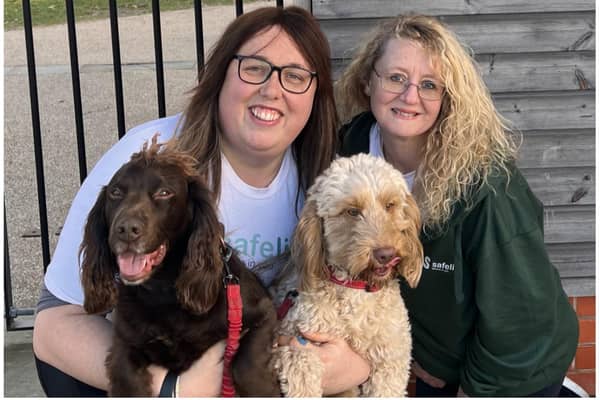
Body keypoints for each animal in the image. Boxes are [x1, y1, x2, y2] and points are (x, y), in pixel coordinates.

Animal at [272, 153, 422, 396]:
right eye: (352, 211)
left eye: (390, 205)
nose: (386, 254)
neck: (358, 287)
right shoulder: (299, 346)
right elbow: (303, 373)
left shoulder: (391, 362)